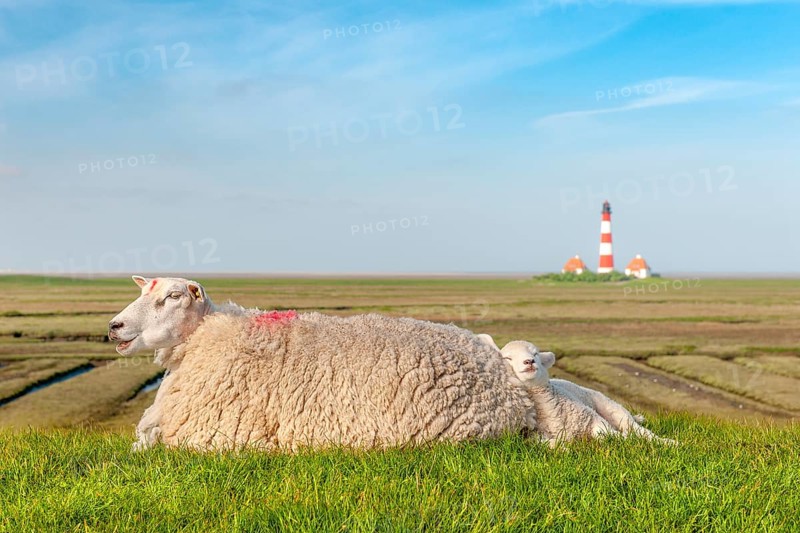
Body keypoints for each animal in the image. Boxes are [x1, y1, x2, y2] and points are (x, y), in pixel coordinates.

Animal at [500, 340, 676, 446]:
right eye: (507, 358)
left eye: (535, 353)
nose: (529, 361)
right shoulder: (531, 436)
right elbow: (548, 443)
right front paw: (562, 447)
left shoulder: (592, 418)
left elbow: (607, 434)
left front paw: (622, 438)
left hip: (611, 407)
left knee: (638, 430)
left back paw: (668, 442)